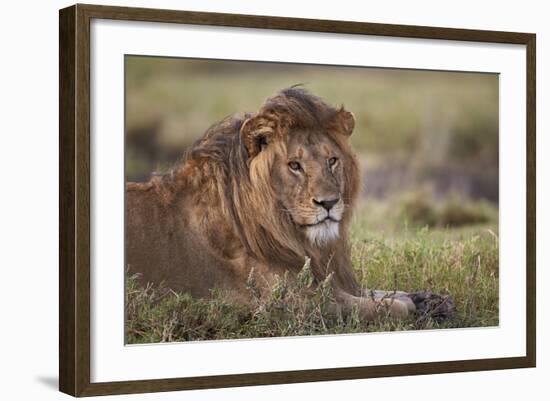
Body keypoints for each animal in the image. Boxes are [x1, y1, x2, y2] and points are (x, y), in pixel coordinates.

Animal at [127, 86, 454, 318]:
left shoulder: (328, 279)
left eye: (332, 160)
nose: (328, 203)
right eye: (294, 165)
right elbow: (389, 306)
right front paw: (415, 306)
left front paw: (433, 300)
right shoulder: (291, 301)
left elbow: (387, 293)